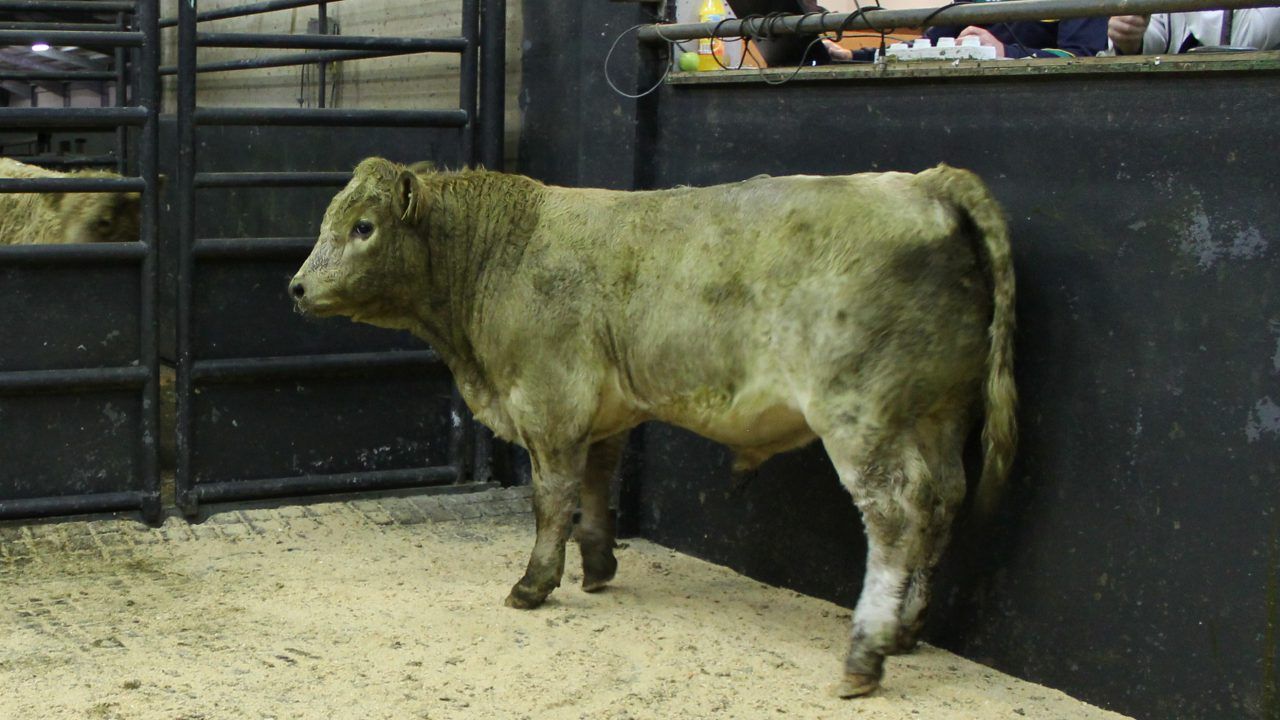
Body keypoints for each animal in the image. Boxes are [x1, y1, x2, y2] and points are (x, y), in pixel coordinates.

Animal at [289, 157, 1016, 698]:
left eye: (363, 226)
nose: (296, 287)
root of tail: (922, 182)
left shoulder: (551, 404)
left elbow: (552, 499)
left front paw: (535, 583)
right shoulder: (603, 413)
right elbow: (595, 488)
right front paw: (598, 567)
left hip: (861, 418)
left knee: (894, 515)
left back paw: (866, 652)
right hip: (940, 415)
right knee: (940, 502)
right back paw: (906, 629)